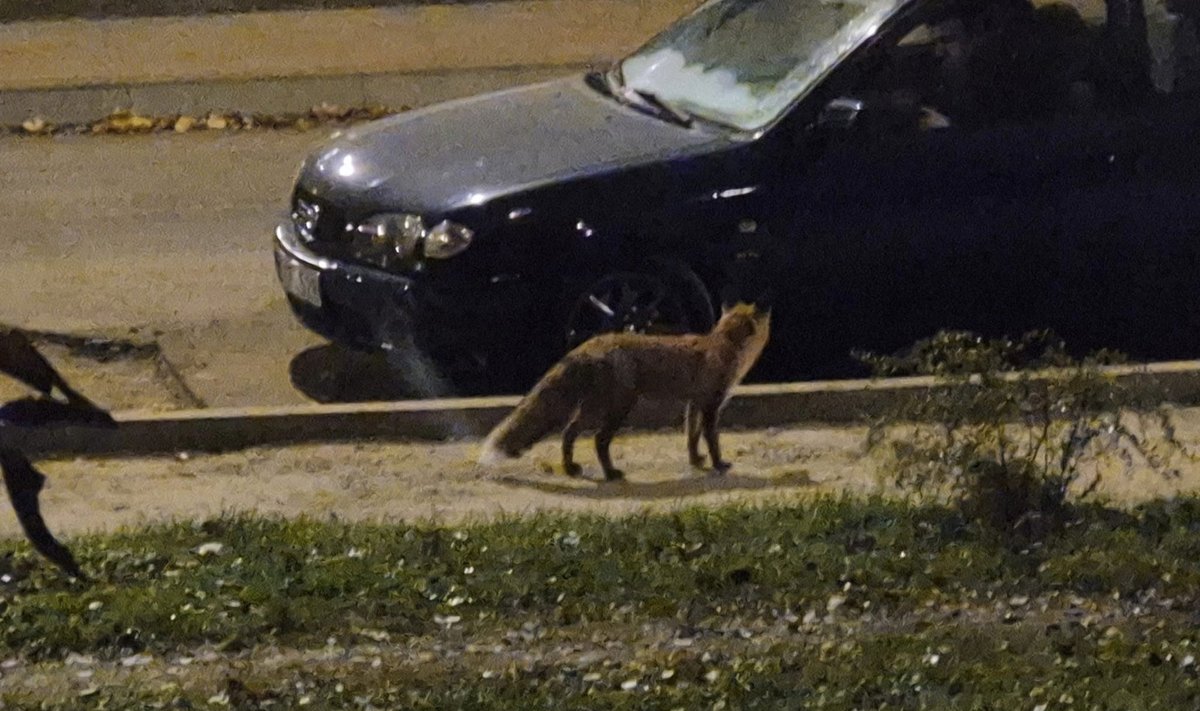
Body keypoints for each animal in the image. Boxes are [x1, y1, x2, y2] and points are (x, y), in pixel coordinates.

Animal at [475, 300, 768, 482]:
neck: (723, 344)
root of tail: (587, 345)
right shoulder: (710, 405)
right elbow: (711, 439)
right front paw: (719, 465)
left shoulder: (693, 404)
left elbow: (691, 437)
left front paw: (696, 461)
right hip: (618, 408)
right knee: (598, 440)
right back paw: (610, 474)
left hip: (593, 408)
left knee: (568, 432)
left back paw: (570, 469)